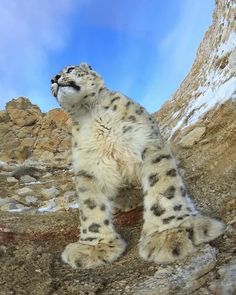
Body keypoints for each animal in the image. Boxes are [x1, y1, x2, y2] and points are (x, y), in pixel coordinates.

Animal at [51, 63, 225, 270]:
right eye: (53, 78)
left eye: (70, 68)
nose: (54, 78)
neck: (91, 114)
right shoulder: (89, 166)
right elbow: (90, 205)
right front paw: (94, 247)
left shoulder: (146, 142)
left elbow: (163, 186)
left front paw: (170, 233)